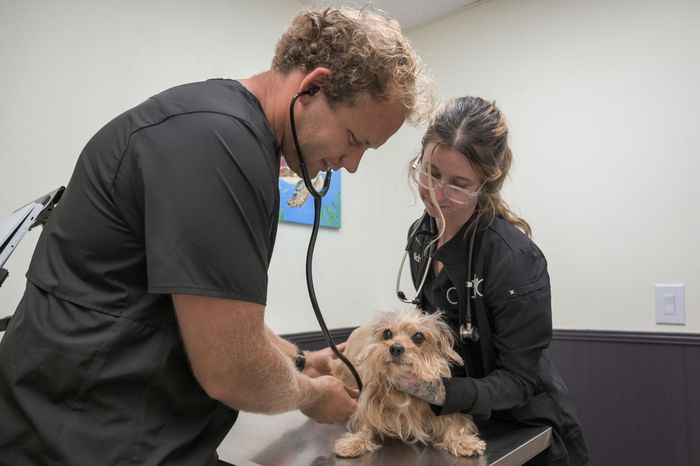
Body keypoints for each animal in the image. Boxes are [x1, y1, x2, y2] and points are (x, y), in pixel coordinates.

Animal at [330, 312, 484, 456]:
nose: (395, 348)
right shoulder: (367, 403)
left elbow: (455, 425)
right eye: (387, 333)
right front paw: (354, 442)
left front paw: (463, 441)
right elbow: (364, 425)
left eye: (418, 336)